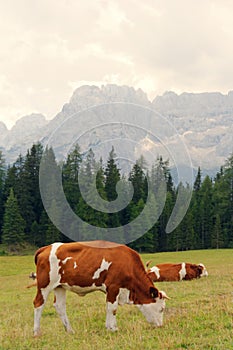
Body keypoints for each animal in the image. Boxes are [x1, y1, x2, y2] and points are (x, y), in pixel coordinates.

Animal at [32, 241, 169, 336]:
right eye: (161, 309)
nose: (161, 326)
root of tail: (46, 248)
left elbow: (110, 308)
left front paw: (110, 327)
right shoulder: (113, 287)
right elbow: (112, 309)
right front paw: (113, 328)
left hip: (59, 286)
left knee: (60, 306)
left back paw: (70, 330)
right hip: (44, 285)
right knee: (39, 303)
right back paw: (36, 332)